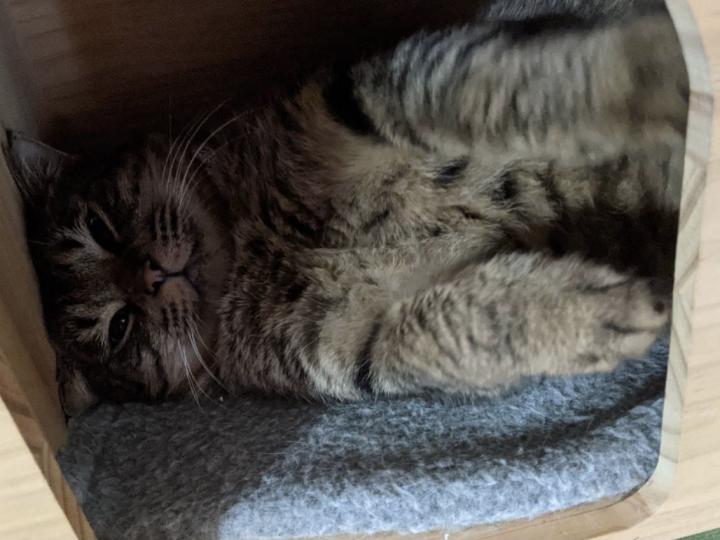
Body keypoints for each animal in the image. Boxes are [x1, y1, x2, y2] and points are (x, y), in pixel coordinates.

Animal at [6, 3, 687, 416]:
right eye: (120, 328)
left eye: (101, 229)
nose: (148, 275)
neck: (254, 240)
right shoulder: (354, 343)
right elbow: (452, 324)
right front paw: (585, 316)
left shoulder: (354, 96)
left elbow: (489, 90)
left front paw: (645, 71)